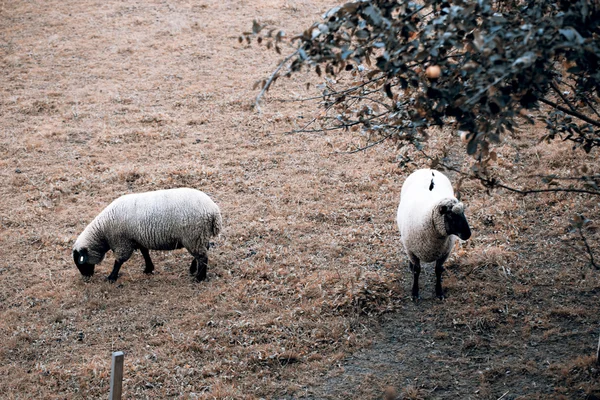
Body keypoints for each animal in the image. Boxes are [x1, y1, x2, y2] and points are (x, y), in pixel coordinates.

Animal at [72, 187, 221, 282]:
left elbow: (119, 261)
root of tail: (213, 211)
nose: (86, 278)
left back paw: (199, 278)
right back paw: (193, 269)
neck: (103, 231)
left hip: (193, 236)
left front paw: (111, 277)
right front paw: (149, 268)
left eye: (80, 262)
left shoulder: (122, 242)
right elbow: (145, 253)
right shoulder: (137, 239)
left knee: (203, 257)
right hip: (200, 236)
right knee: (203, 251)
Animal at [396, 168, 472, 300]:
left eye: (463, 213)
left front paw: (439, 291)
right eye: (450, 216)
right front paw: (414, 293)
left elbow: (438, 270)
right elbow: (417, 271)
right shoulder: (412, 251)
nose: (468, 234)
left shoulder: (444, 253)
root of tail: (429, 170)